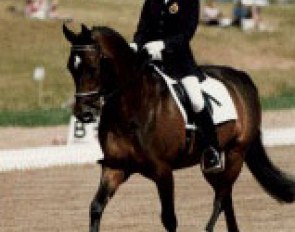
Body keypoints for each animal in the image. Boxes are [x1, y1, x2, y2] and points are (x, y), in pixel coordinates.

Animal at [62, 24, 295, 231]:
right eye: (70, 68)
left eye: (92, 68)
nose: (84, 114)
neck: (132, 107)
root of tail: (241, 77)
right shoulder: (115, 167)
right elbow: (96, 207)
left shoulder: (163, 171)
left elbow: (169, 219)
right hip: (213, 164)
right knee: (225, 198)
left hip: (236, 153)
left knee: (220, 199)